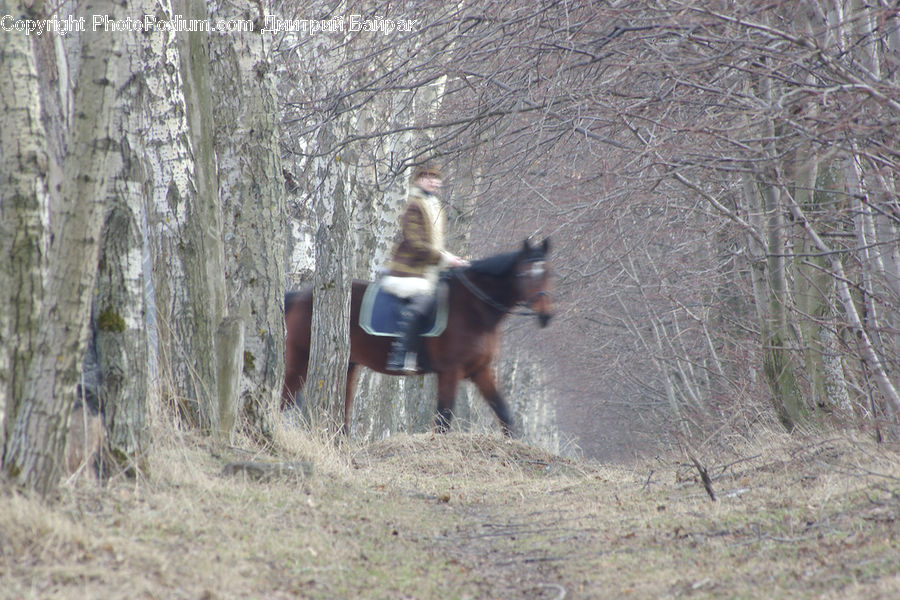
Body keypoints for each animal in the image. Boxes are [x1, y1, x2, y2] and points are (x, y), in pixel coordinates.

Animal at [281, 238, 553, 435]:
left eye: (548, 274)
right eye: (525, 274)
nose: (546, 315)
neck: (473, 308)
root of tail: (298, 297)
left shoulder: (480, 369)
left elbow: (504, 413)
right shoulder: (450, 371)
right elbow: (443, 420)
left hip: (347, 366)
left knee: (341, 412)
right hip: (299, 361)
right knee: (284, 398)